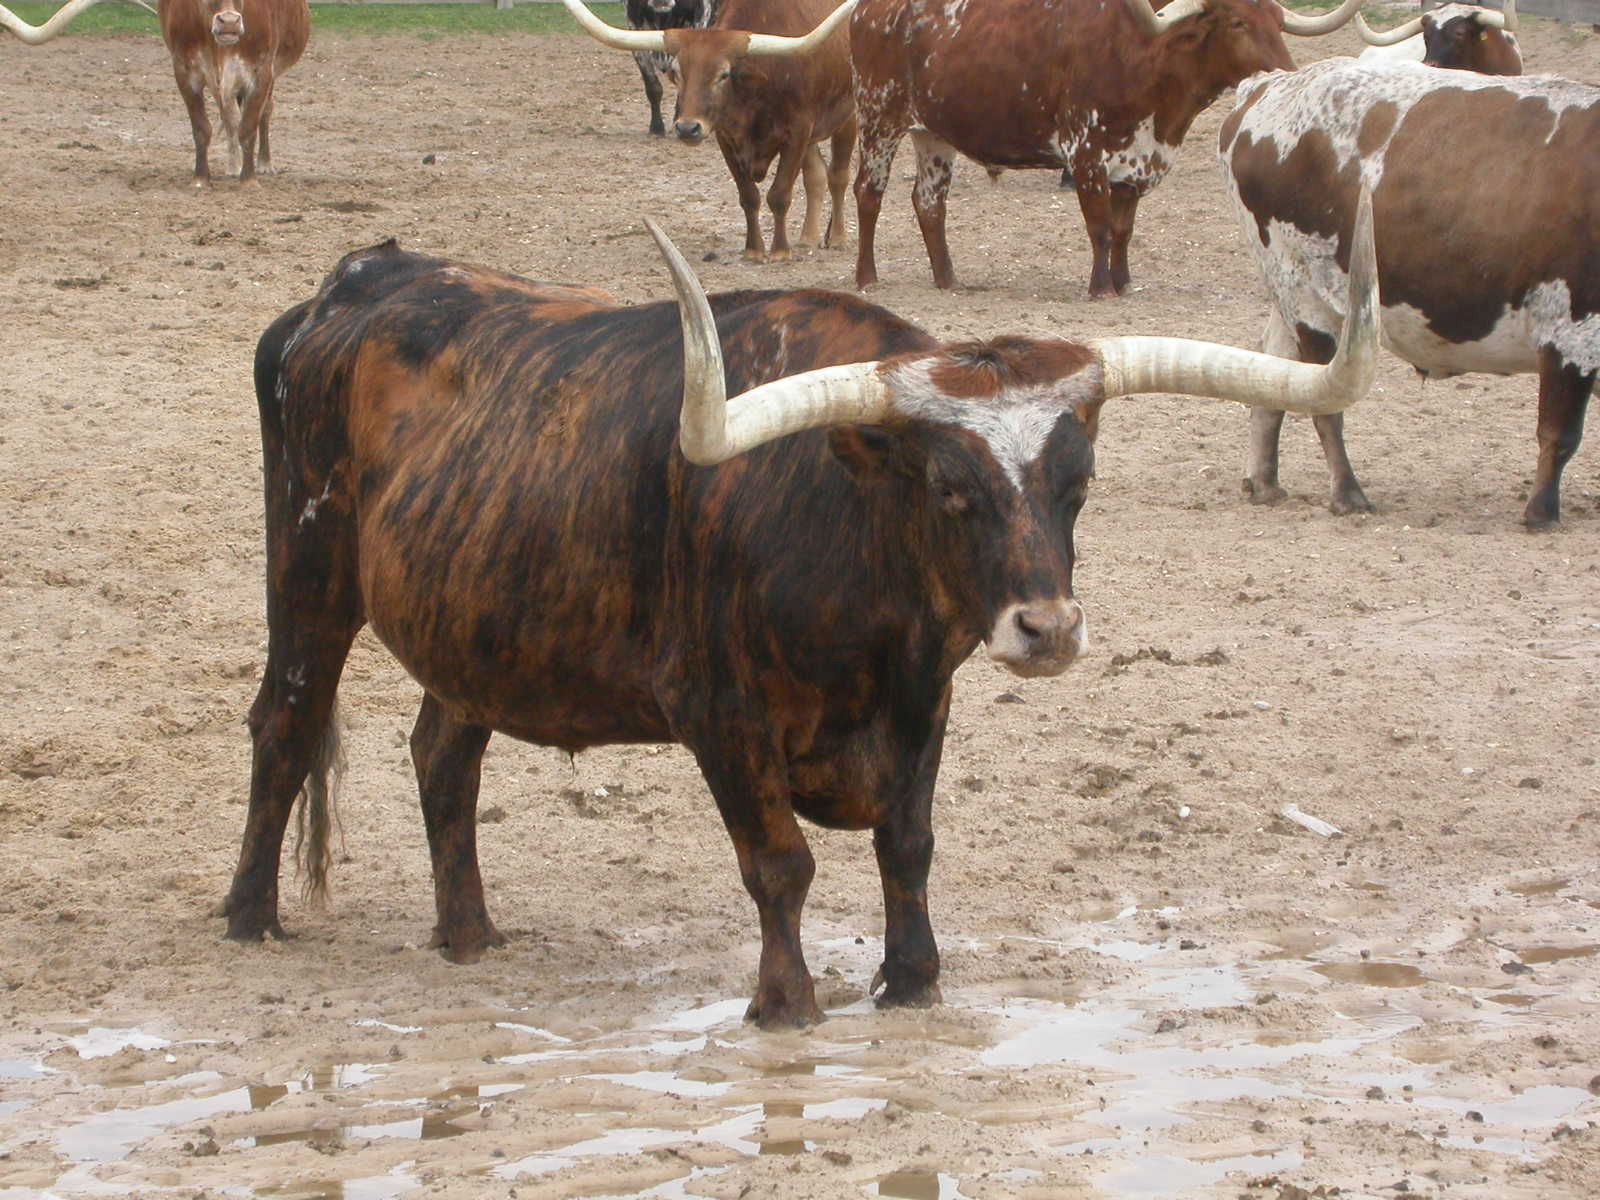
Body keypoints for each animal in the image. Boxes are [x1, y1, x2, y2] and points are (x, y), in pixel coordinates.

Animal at [0, 0, 309, 184]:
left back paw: (263, 163)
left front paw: (249, 179)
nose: (230, 22)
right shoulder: (185, 71)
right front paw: (201, 178)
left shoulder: (262, 71)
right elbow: (202, 127)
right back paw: (232, 165)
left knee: (262, 113)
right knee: (229, 113)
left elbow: (249, 127)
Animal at [219, 207, 1378, 1029]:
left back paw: (468, 933)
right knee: (284, 725)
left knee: (443, 754)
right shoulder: (716, 711)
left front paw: (913, 981)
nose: (1047, 629)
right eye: (950, 489)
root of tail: (353, 285)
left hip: (476, 620)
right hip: (309, 572)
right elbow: (779, 862)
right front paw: (787, 1004)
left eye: (1077, 482)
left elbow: (908, 845)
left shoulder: (927, 699)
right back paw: (249, 917)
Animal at [848, 0, 1364, 299]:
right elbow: (1098, 227)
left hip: (933, 135)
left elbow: (1122, 231)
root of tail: (867, 11)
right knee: (868, 193)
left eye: (1277, 22)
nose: (1286, 71)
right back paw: (866, 277)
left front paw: (1123, 281)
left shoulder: (1134, 164)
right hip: (878, 119)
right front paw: (1100, 288)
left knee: (928, 202)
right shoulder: (1086, 155)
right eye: (1238, 22)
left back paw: (947, 279)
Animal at [1219, 58, 1597, 527]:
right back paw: (1347, 493)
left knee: (1272, 380)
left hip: (1292, 296)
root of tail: (1267, 86)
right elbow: (1559, 434)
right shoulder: (1571, 333)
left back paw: (1264, 481)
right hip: (1309, 304)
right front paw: (1541, 512)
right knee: (1326, 406)